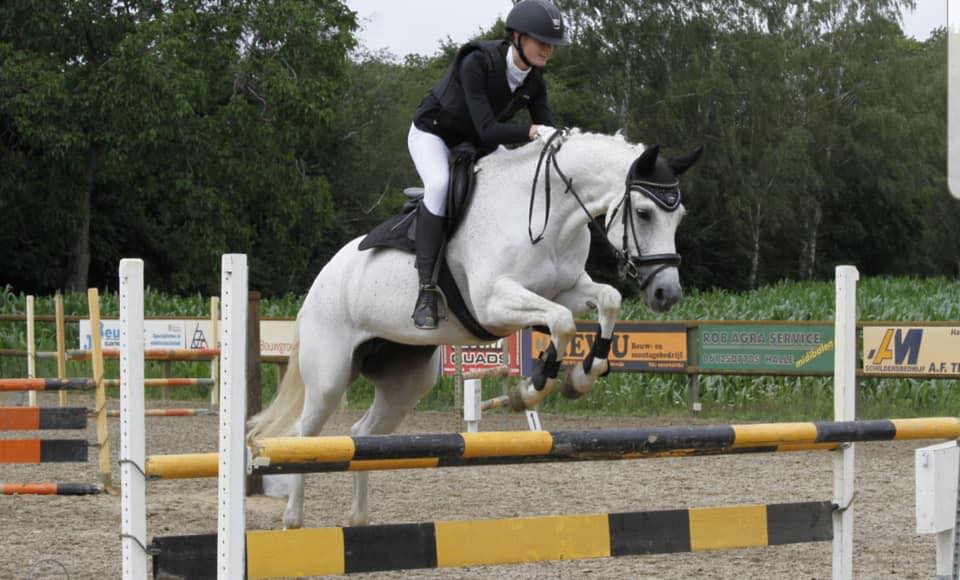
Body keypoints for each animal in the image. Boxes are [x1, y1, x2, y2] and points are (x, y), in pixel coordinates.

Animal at [248, 129, 696, 528]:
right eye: (644, 213)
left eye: (679, 216)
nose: (667, 293)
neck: (548, 216)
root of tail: (317, 286)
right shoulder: (493, 302)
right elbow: (561, 322)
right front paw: (532, 388)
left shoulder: (567, 290)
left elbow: (606, 301)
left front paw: (583, 376)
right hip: (329, 375)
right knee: (305, 435)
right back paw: (293, 517)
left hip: (406, 381)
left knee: (361, 435)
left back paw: (357, 519)